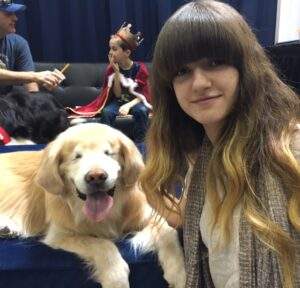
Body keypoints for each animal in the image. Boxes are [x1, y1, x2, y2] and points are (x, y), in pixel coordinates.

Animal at [0, 124, 185, 288]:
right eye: (77, 156)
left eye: (108, 154)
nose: (96, 176)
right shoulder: (60, 234)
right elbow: (102, 244)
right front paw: (115, 277)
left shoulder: (146, 216)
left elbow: (169, 232)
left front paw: (179, 274)